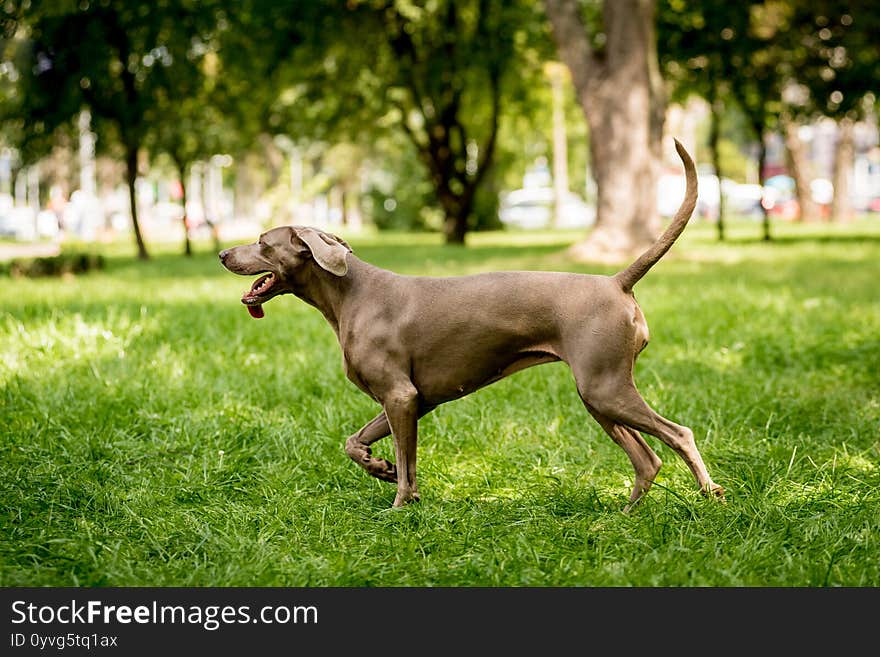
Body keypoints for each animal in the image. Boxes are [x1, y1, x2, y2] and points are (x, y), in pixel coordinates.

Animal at [220, 137, 720, 508]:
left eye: (262, 242)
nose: (223, 253)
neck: (350, 295)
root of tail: (617, 281)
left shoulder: (400, 396)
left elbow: (407, 463)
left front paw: (400, 507)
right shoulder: (414, 400)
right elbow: (358, 444)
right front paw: (381, 469)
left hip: (605, 386)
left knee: (679, 434)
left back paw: (709, 494)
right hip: (598, 395)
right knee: (647, 459)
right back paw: (623, 516)